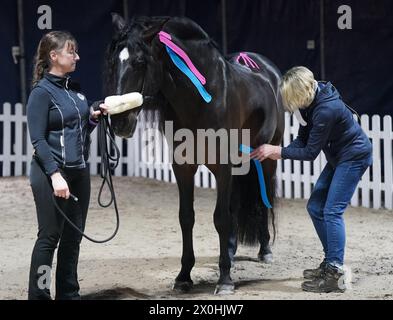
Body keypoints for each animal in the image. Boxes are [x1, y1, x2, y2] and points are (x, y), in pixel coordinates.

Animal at [104, 15, 284, 296]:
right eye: (112, 62)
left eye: (141, 62)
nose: (120, 122)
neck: (201, 98)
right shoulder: (183, 167)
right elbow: (187, 217)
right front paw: (183, 276)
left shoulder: (223, 166)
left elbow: (221, 217)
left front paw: (225, 280)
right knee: (235, 205)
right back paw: (231, 251)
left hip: (267, 157)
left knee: (263, 202)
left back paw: (264, 250)